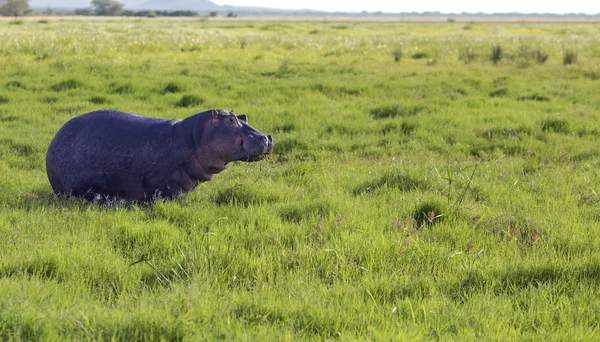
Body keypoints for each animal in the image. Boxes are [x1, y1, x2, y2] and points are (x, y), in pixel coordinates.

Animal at [45, 108, 274, 202]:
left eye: (244, 116)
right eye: (231, 120)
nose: (266, 137)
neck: (191, 138)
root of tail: (55, 137)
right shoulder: (166, 187)